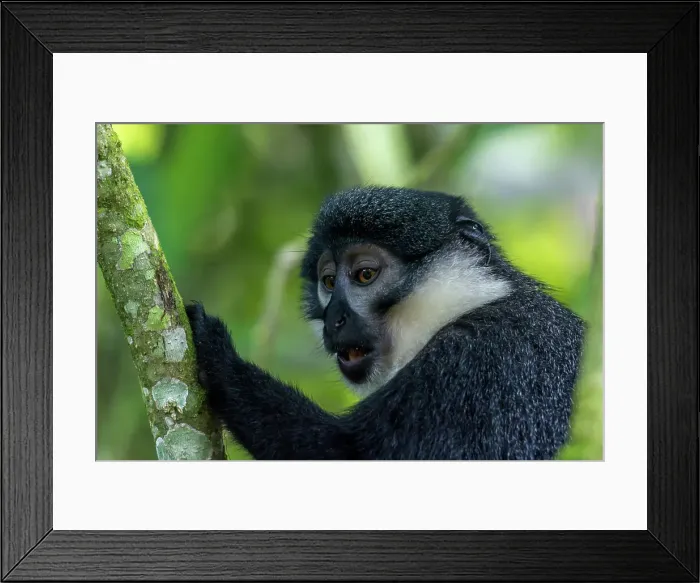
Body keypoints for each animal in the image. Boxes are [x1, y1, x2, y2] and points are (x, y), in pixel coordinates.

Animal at [186, 185, 585, 460]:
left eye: (364, 275)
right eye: (328, 282)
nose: (334, 319)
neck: (473, 302)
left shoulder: (474, 362)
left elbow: (349, 451)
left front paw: (218, 354)